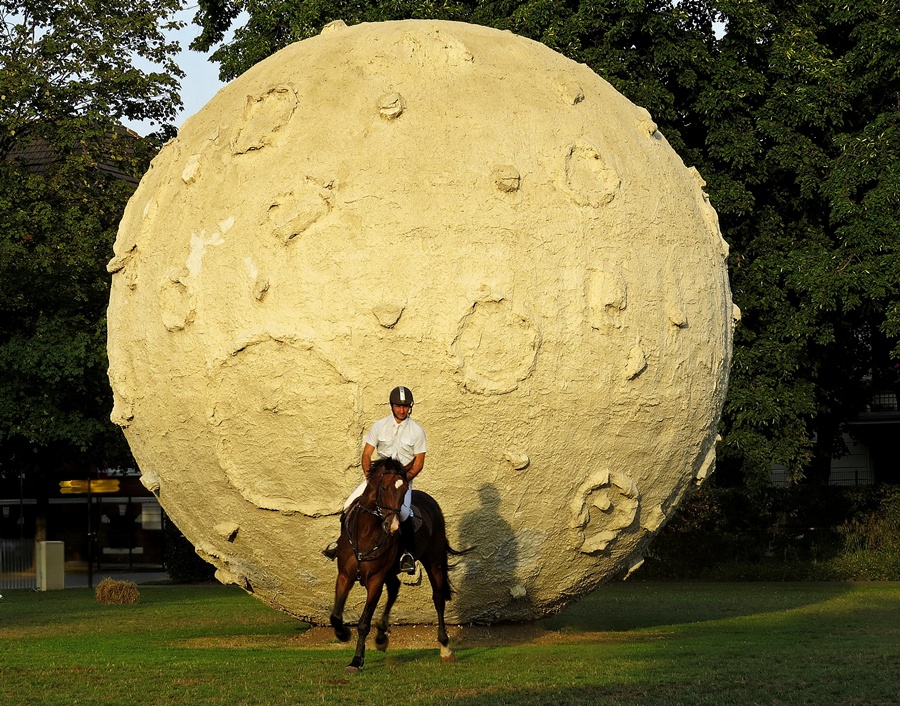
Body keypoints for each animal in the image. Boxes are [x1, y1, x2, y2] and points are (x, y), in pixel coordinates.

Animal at [330, 456, 472, 672]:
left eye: (404, 489)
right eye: (383, 488)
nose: (394, 526)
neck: (365, 533)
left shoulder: (375, 580)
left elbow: (363, 623)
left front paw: (356, 661)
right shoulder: (345, 575)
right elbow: (335, 615)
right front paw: (343, 633)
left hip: (434, 562)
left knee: (438, 597)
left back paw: (445, 648)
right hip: (392, 571)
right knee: (395, 587)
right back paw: (381, 635)